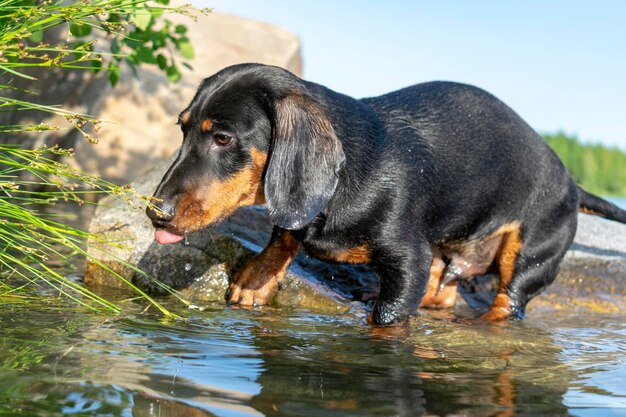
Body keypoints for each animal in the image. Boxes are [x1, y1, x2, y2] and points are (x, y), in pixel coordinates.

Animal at [147, 63, 624, 324]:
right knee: (442, 288)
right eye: (182, 128)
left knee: (508, 303)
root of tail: (571, 182)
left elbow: (388, 317)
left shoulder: (409, 258)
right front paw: (257, 278)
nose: (155, 212)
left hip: (529, 257)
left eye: (223, 138)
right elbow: (284, 235)